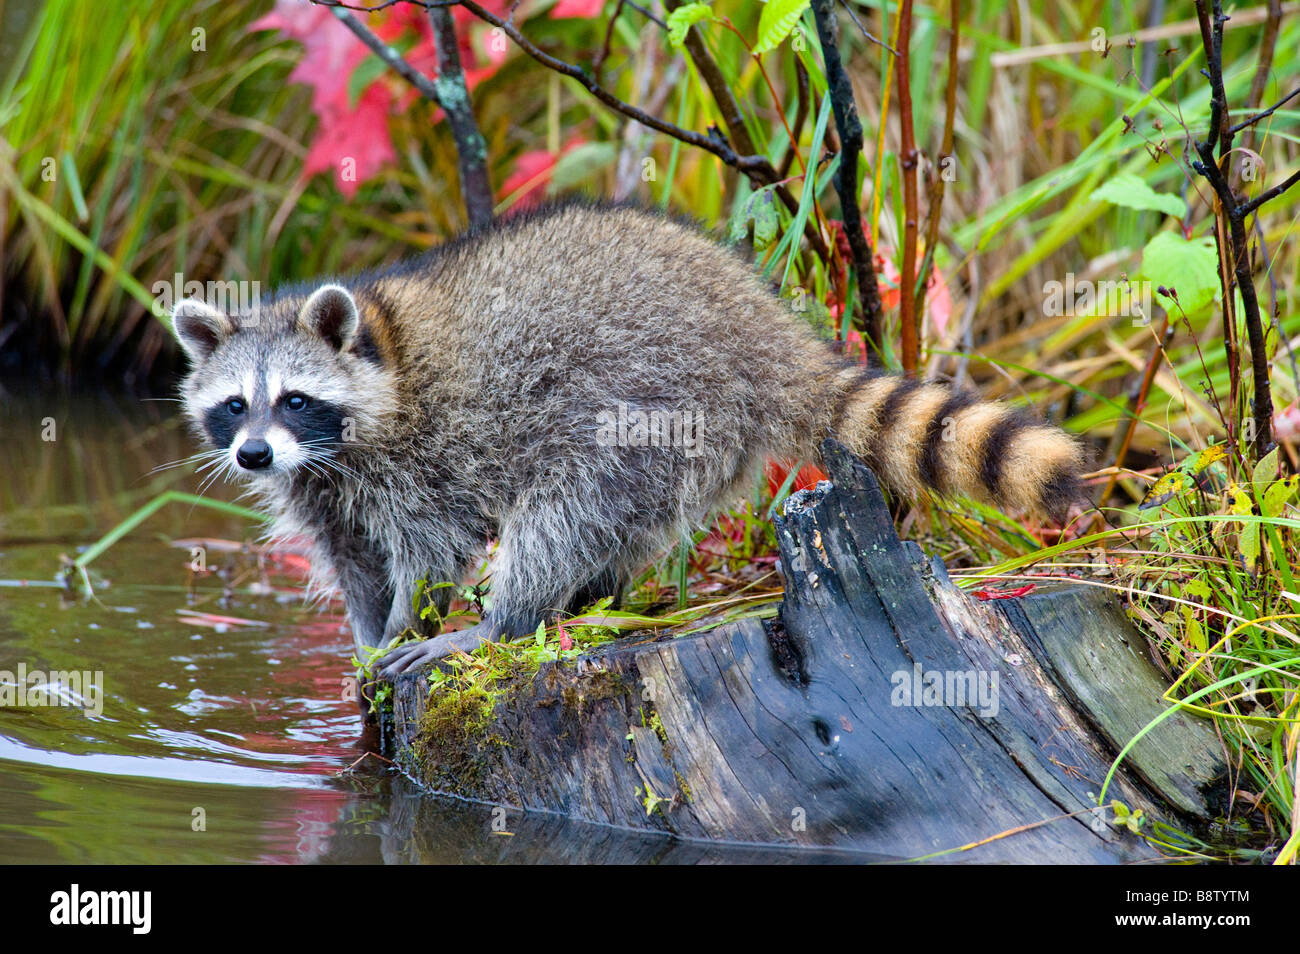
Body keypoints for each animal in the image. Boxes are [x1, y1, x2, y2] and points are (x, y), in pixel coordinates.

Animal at [172, 201, 1086, 686]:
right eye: (235, 407)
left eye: (295, 400)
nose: (253, 456)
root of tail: (759, 329)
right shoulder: (322, 484)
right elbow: (351, 555)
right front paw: (367, 636)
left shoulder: (425, 453)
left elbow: (432, 546)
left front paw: (407, 624)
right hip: (691, 433)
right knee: (623, 518)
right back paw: (589, 596)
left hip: (641, 396)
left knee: (568, 507)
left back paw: (507, 620)